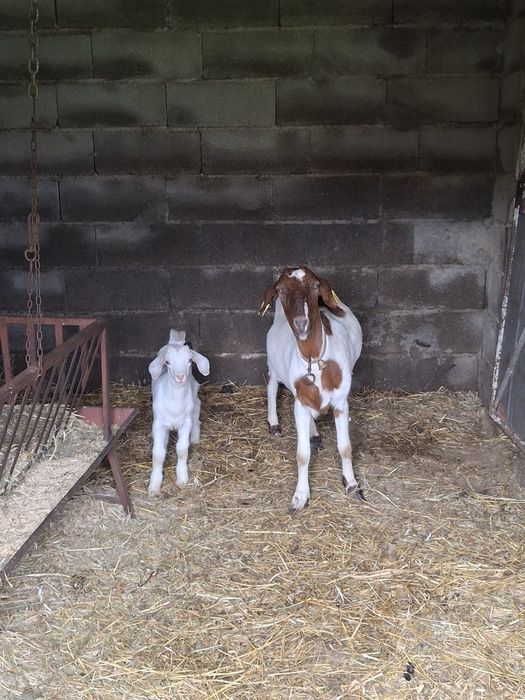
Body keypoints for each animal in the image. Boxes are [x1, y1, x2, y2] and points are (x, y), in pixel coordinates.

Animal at [147, 330, 210, 497]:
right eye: (167, 362)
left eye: (189, 360)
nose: (181, 376)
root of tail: (175, 341)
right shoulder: (158, 424)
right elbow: (158, 454)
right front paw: (154, 486)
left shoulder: (185, 423)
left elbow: (182, 449)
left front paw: (182, 478)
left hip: (193, 390)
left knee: (197, 407)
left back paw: (195, 437)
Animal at [259, 267, 363, 512]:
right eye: (280, 289)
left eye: (316, 285)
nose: (301, 323)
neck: (315, 360)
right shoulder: (300, 403)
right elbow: (302, 455)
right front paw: (300, 497)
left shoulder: (341, 402)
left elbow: (345, 447)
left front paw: (352, 485)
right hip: (273, 364)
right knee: (271, 386)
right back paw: (274, 424)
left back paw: (314, 433)